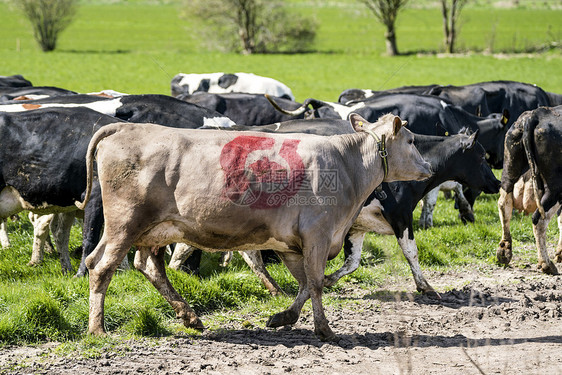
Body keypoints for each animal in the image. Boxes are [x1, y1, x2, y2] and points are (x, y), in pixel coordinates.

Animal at [494, 105, 560, 274]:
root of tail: (535, 114)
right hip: (555, 188)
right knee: (540, 219)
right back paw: (546, 264)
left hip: (510, 169)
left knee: (504, 204)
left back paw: (504, 251)